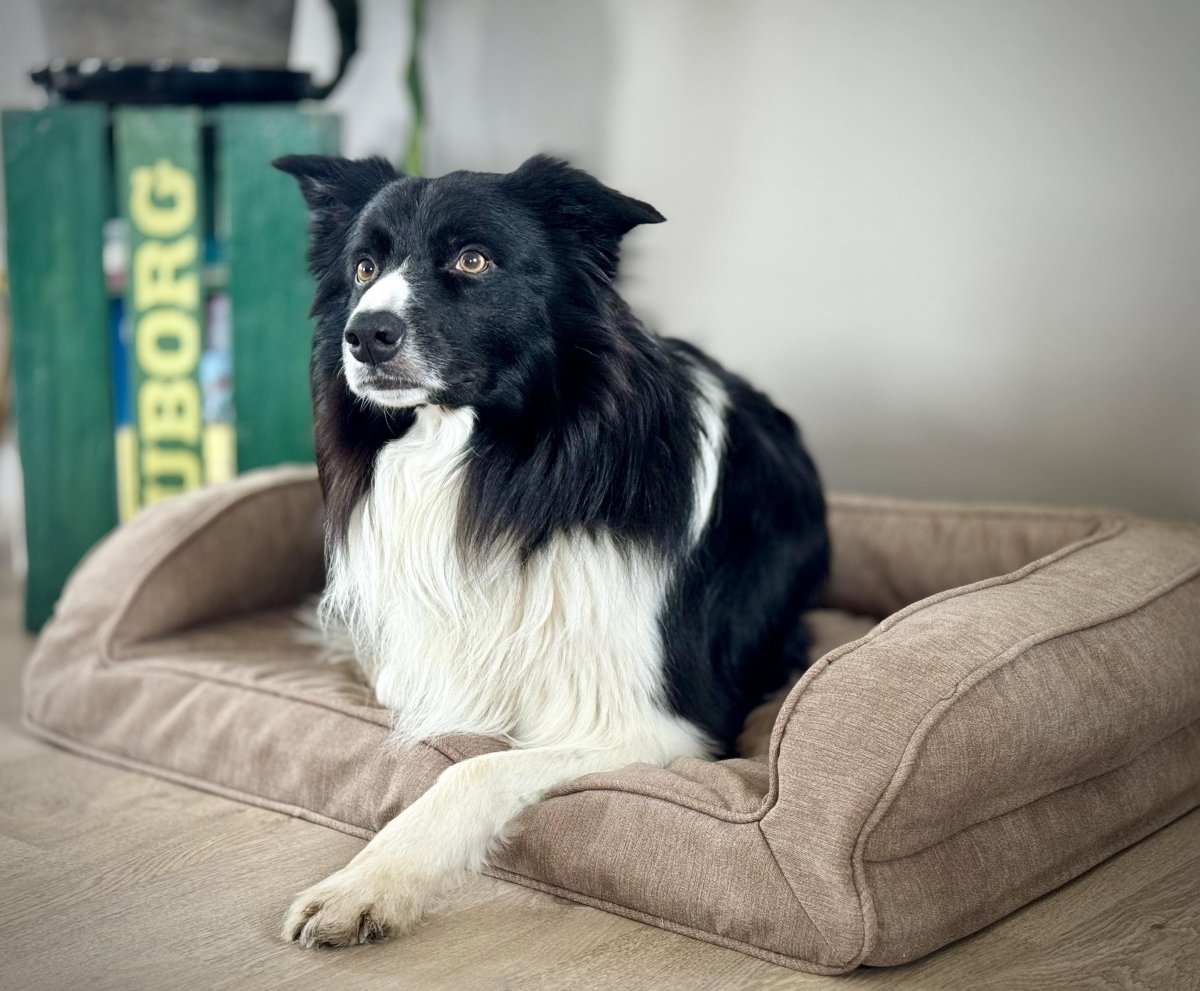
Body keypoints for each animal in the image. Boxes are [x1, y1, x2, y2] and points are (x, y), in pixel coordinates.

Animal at [276, 152, 830, 940]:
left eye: (473, 259)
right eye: (363, 266)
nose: (365, 334)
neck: (494, 462)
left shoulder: (659, 726)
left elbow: (472, 767)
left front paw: (370, 883)